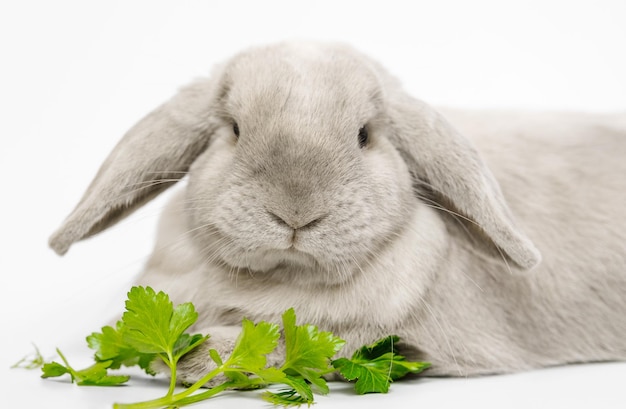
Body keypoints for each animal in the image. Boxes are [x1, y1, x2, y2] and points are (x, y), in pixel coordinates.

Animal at [48, 41, 624, 382]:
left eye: (365, 135)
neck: (281, 281)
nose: (295, 212)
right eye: (233, 129)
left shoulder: (397, 340)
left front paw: (195, 354)